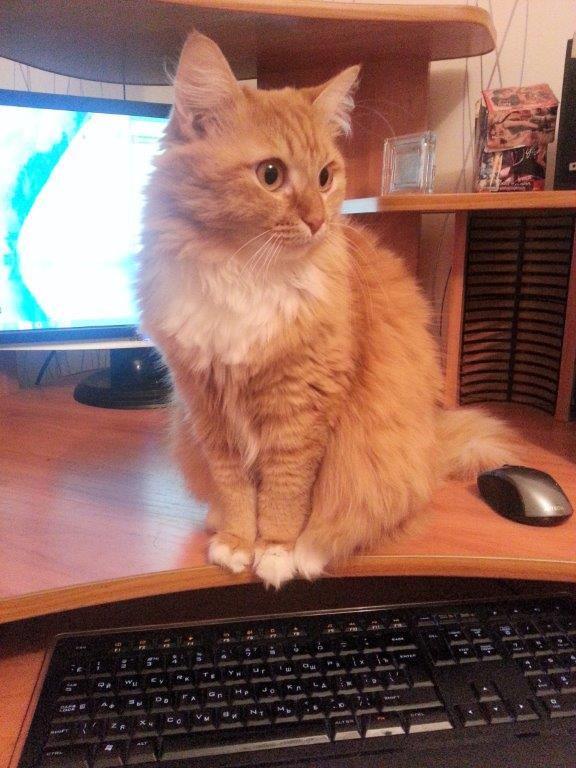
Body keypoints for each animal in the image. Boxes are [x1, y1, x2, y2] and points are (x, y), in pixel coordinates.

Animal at [137, 31, 517, 589]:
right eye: (270, 175)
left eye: (324, 177)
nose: (317, 221)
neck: (244, 272)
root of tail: (432, 443)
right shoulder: (206, 407)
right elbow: (235, 489)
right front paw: (236, 541)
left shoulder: (301, 411)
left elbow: (285, 495)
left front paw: (275, 552)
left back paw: (312, 551)